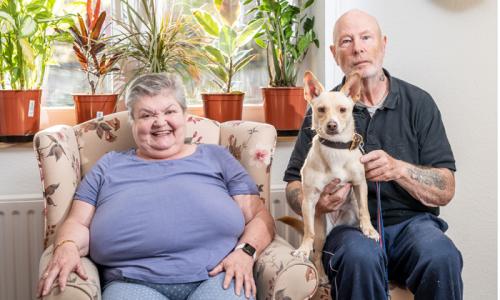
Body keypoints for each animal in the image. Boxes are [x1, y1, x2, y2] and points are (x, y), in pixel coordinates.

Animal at [290, 71, 378, 282]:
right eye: (321, 109)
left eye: (343, 110)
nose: (332, 125)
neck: (335, 148)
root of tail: (337, 224)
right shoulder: (309, 199)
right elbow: (308, 231)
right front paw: (303, 248)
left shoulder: (360, 184)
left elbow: (365, 209)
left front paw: (369, 229)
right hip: (321, 228)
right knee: (318, 251)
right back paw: (321, 275)